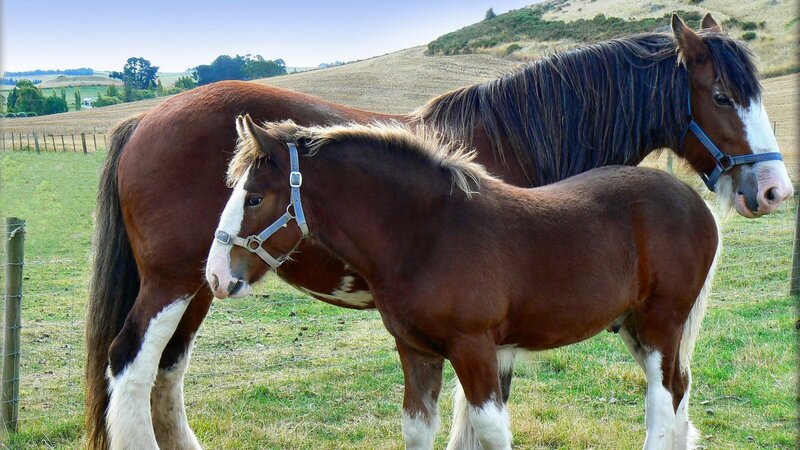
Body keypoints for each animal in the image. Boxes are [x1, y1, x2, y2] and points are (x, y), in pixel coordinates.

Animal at [206, 116, 722, 450]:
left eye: (254, 197)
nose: (216, 276)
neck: (428, 234)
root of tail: (694, 202)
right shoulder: (416, 350)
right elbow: (417, 428)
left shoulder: (474, 349)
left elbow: (490, 430)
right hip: (636, 326)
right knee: (678, 387)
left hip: (661, 323)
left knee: (663, 399)